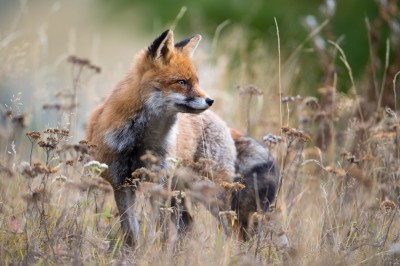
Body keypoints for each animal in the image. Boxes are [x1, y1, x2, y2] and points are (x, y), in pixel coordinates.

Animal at [86, 29, 276, 245]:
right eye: (182, 82)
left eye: (196, 81)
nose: (210, 100)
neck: (141, 142)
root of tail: (224, 124)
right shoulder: (121, 184)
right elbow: (131, 232)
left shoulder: (159, 183)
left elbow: (159, 230)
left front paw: (157, 249)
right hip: (181, 194)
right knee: (188, 223)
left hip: (211, 193)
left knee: (232, 227)